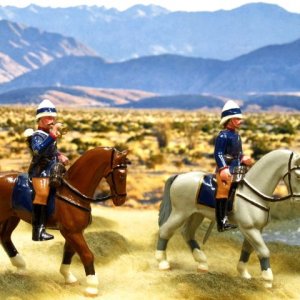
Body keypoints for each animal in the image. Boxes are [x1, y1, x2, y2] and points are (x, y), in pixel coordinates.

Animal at [0, 146, 127, 296]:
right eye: (121, 176)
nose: (121, 200)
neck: (73, 193)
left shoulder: (74, 232)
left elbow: (69, 252)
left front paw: (68, 276)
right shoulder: (72, 232)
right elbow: (87, 255)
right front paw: (92, 286)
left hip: (12, 217)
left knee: (5, 238)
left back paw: (21, 267)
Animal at [156, 149, 300, 288]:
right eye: (298, 175)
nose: (297, 200)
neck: (252, 192)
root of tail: (179, 176)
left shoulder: (256, 229)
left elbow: (247, 249)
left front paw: (243, 273)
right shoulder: (249, 229)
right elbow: (263, 251)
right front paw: (268, 280)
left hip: (196, 214)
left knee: (187, 233)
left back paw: (202, 264)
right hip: (180, 213)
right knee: (165, 231)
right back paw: (162, 263)